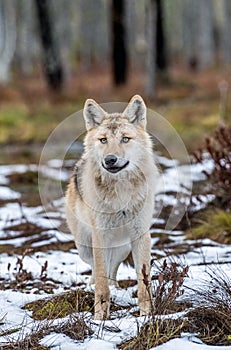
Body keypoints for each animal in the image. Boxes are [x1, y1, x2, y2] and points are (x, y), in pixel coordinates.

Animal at [66, 94, 158, 318]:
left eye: (125, 138)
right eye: (103, 140)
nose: (110, 159)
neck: (120, 191)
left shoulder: (141, 235)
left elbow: (144, 282)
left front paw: (147, 315)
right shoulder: (100, 236)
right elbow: (101, 280)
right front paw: (100, 317)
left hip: (122, 248)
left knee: (113, 269)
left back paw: (116, 288)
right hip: (85, 246)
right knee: (96, 269)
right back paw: (94, 286)